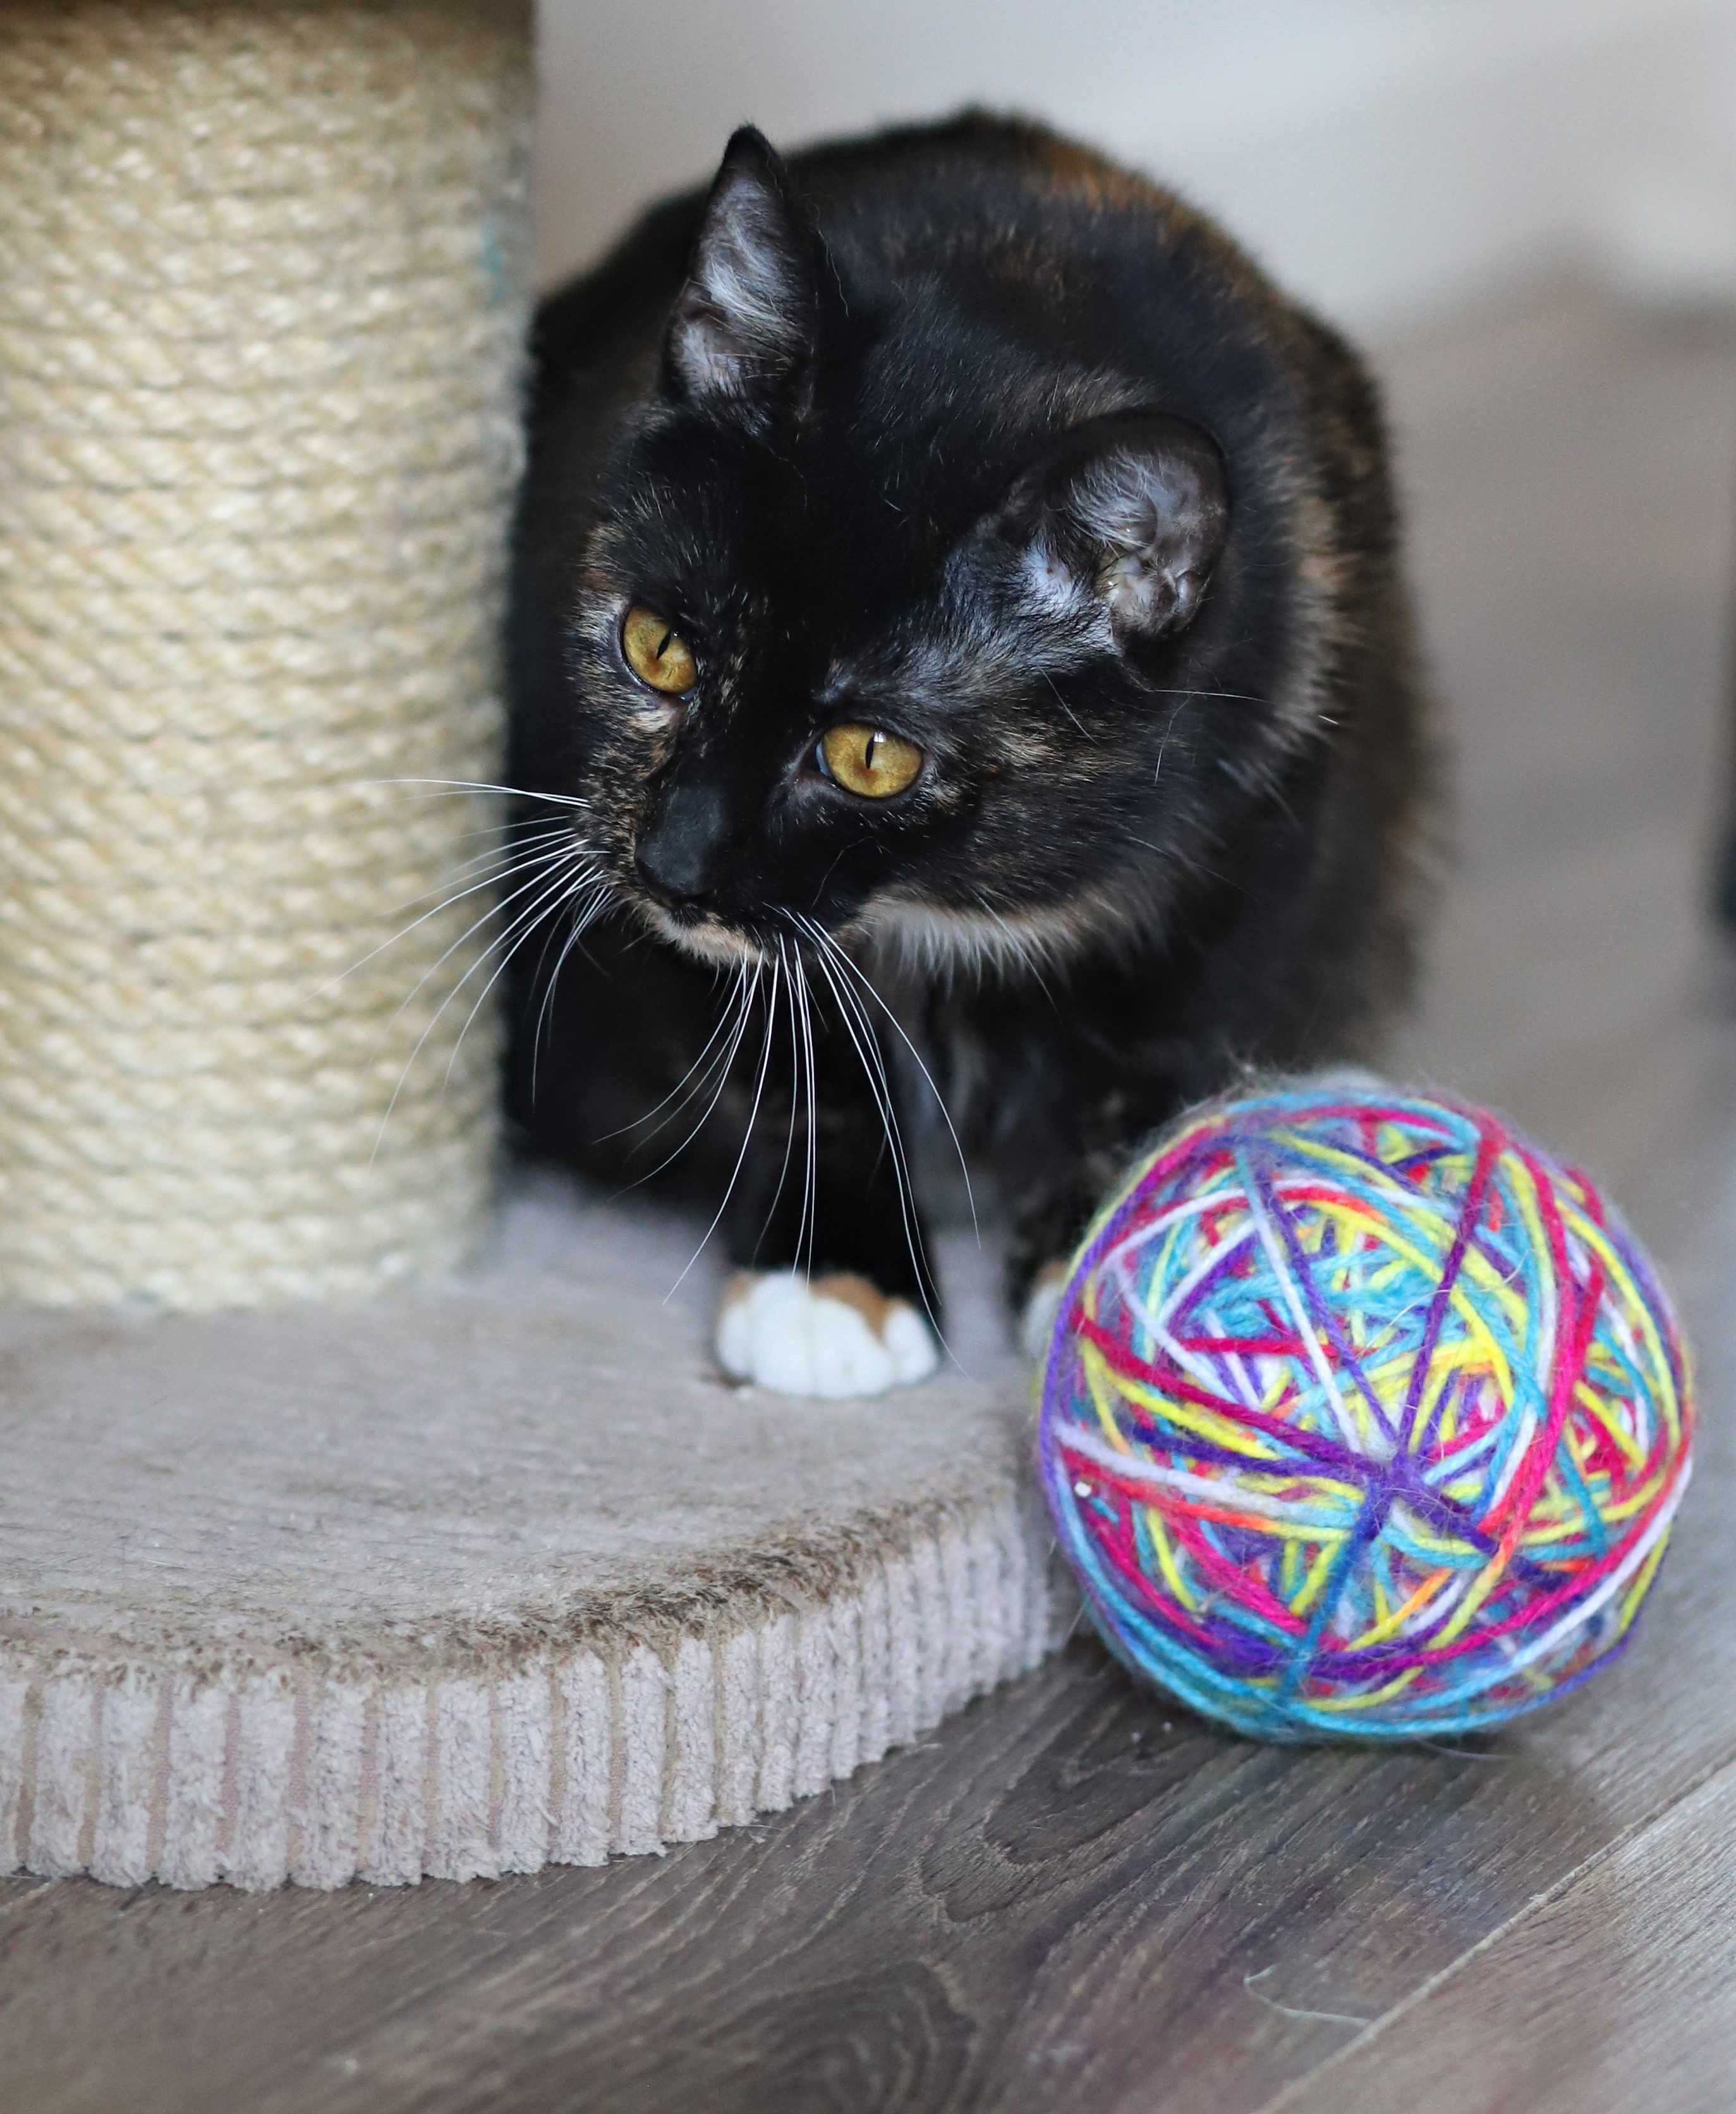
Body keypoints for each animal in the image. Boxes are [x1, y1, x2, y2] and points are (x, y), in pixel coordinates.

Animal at [501, 111, 1438, 1404]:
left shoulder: (1276, 780)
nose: (672, 864)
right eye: (657, 647)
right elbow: (786, 1064)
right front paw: (831, 1280)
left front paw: (1112, 1249)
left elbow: (1161, 1031)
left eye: (869, 755)